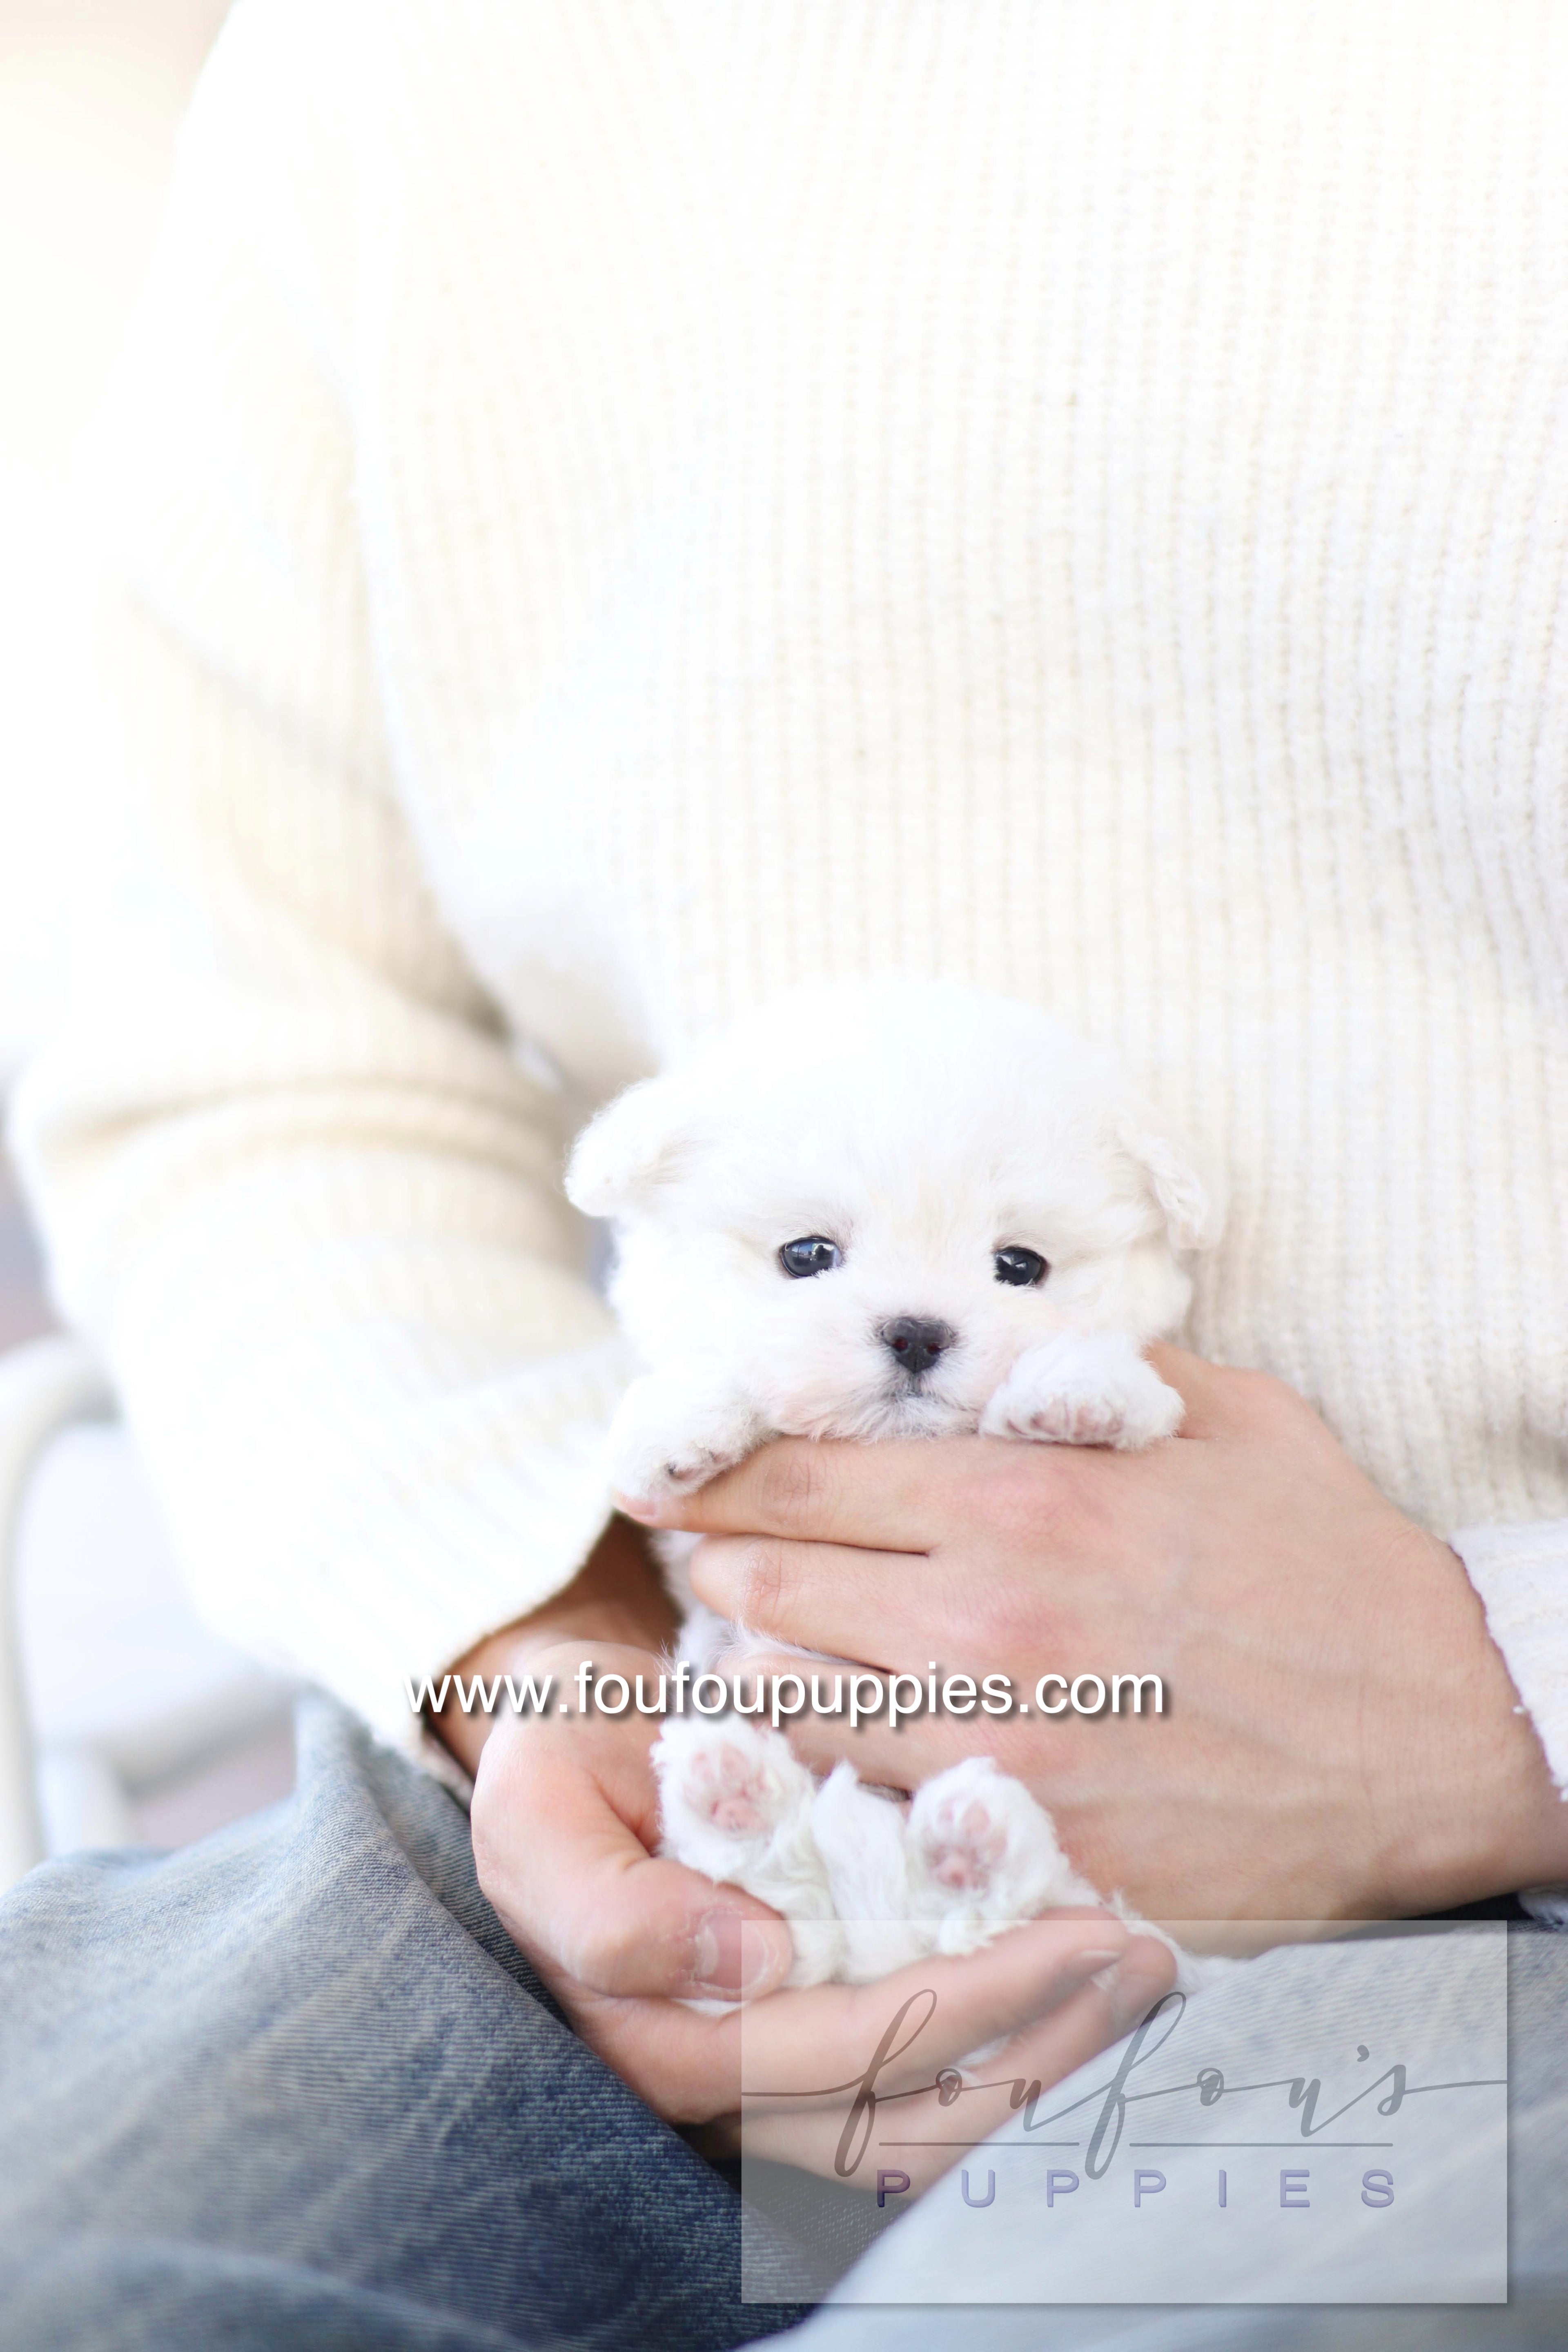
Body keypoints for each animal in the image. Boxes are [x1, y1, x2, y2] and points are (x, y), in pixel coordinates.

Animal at [564, 983, 1222, 1994]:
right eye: (806, 1256)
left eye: (1020, 1266)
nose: (917, 1331)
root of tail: (880, 1940)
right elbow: (724, 1374)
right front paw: (679, 1425)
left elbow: (1132, 1388)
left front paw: (1078, 1394)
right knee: (786, 1904)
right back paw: (736, 1793)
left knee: (998, 1907)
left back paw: (971, 1843)